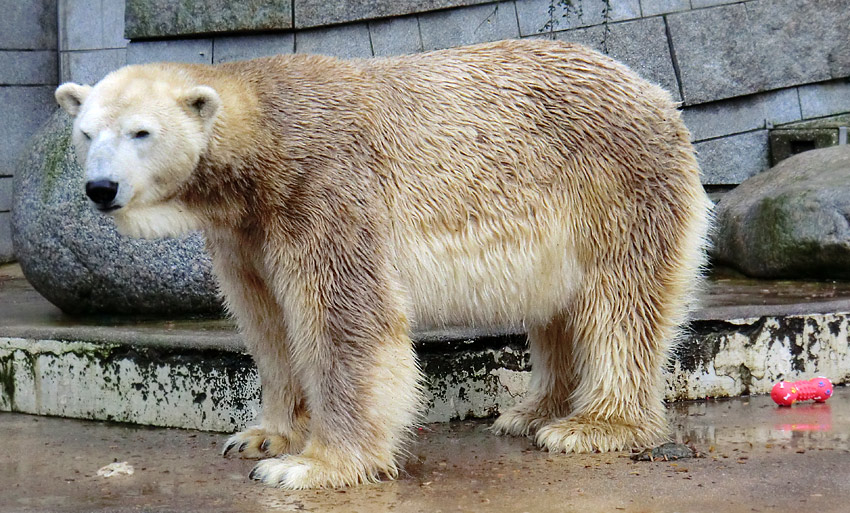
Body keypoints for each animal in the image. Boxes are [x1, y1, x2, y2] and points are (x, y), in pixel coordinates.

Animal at [54, 39, 708, 488]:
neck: (264, 142)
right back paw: (528, 413)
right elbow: (268, 323)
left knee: (619, 300)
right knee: (557, 309)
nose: (101, 188)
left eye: (141, 132)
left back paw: (590, 426)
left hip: (613, 186)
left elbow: (345, 319)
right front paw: (262, 437)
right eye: (85, 132)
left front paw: (311, 465)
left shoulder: (323, 189)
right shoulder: (245, 233)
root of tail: (654, 92)